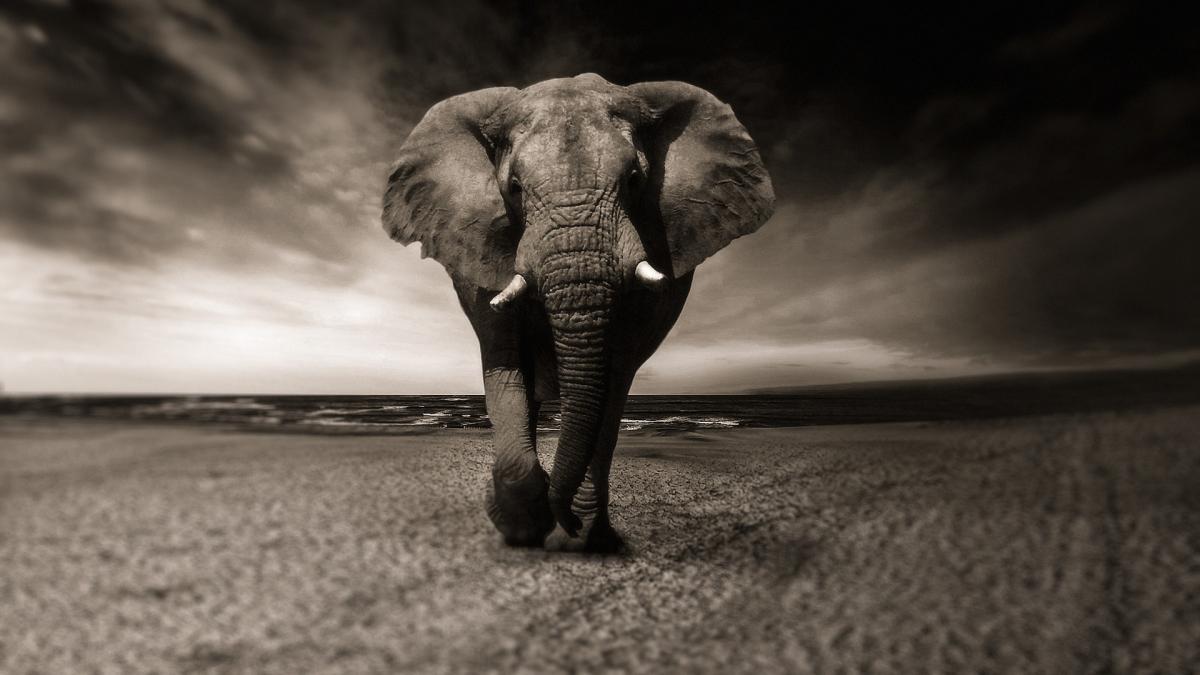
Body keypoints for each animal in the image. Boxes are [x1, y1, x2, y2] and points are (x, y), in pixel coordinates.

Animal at [382, 73, 774, 552]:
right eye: (514, 188)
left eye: (635, 180)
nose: (563, 519)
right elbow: (505, 362)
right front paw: (523, 526)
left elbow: (613, 376)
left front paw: (578, 533)